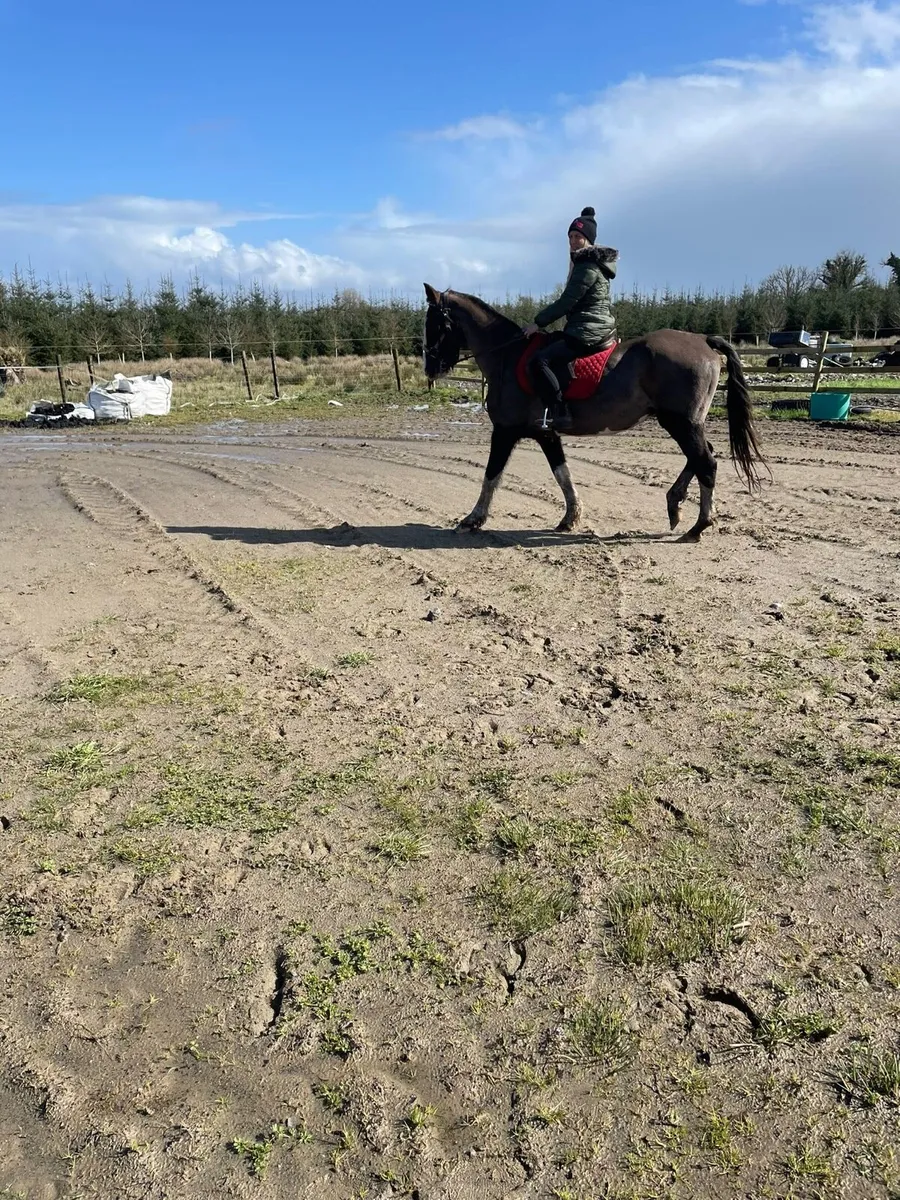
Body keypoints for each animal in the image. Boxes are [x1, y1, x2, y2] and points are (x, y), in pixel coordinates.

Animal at [422, 284, 767, 541]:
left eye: (435, 323)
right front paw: (570, 518)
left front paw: (472, 520)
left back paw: (698, 526)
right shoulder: (546, 434)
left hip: (681, 422)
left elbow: (491, 475)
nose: (430, 368)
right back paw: (675, 505)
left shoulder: (505, 431)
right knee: (700, 457)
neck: (508, 356)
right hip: (683, 422)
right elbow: (562, 474)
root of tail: (703, 340)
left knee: (705, 462)